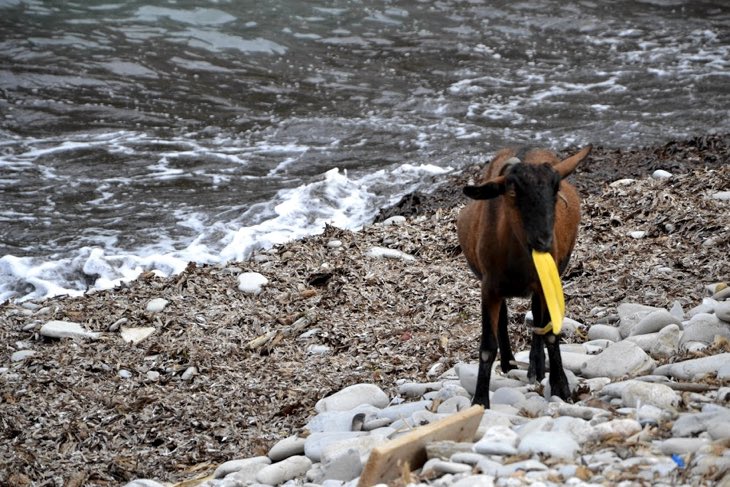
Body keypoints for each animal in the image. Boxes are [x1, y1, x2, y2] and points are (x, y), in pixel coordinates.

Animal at [456, 145, 592, 408]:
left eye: (555, 189)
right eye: (512, 192)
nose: (544, 241)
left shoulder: (543, 281)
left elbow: (549, 333)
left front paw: (561, 388)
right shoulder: (489, 287)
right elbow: (487, 346)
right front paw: (480, 401)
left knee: (537, 319)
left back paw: (535, 367)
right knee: (506, 318)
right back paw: (509, 362)